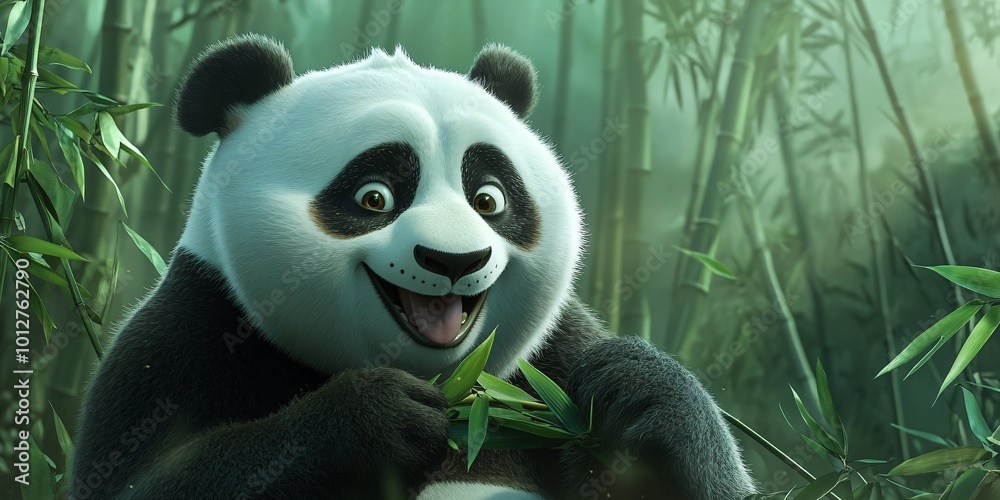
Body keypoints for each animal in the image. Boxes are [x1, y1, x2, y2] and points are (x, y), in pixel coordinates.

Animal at [70, 34, 756, 500]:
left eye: (489, 199)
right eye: (374, 197)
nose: (456, 260)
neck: (454, 394)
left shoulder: (547, 365)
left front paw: (637, 388)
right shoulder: (190, 329)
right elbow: (142, 480)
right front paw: (377, 419)